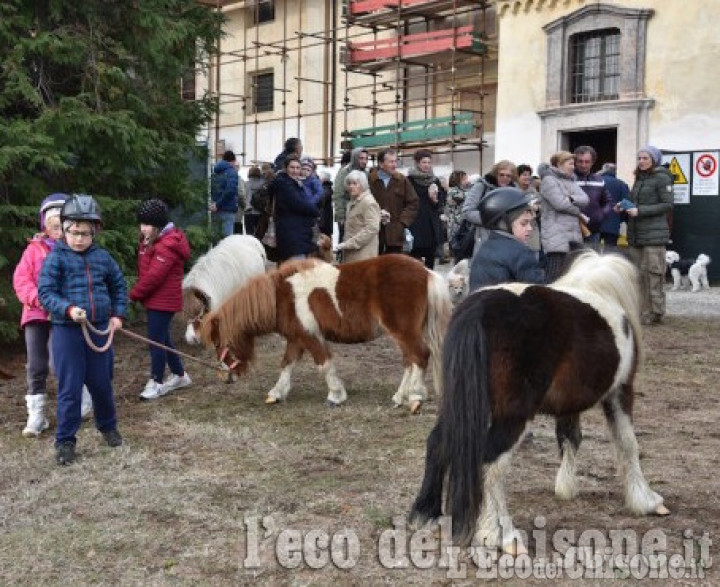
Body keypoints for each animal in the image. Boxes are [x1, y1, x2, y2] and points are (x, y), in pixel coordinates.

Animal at [195, 254, 450, 414]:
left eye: (218, 343)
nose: (225, 376)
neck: (281, 297)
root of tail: (426, 271)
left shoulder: (310, 337)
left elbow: (324, 363)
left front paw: (336, 395)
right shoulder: (296, 339)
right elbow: (286, 364)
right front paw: (276, 393)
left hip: (403, 331)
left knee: (420, 356)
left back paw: (416, 397)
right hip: (402, 333)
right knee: (410, 360)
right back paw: (400, 397)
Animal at [410, 252, 668, 556]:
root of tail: (480, 308)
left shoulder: (569, 405)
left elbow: (570, 439)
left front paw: (566, 487)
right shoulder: (620, 392)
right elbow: (628, 445)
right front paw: (646, 500)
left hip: (460, 407)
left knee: (438, 444)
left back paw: (428, 516)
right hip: (513, 416)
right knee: (491, 462)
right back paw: (501, 535)